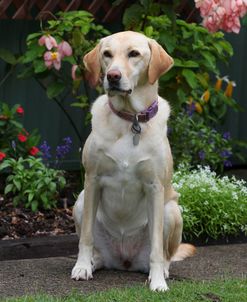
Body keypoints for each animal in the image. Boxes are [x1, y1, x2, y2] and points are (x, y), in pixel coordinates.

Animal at [71, 30, 195, 290]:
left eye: (134, 54)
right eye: (107, 54)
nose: (112, 76)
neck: (130, 119)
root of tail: (125, 261)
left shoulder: (155, 187)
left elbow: (157, 249)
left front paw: (157, 283)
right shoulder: (92, 179)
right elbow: (85, 236)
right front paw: (82, 267)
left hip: (171, 210)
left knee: (165, 255)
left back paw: (160, 271)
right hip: (80, 200)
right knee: (95, 246)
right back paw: (94, 263)